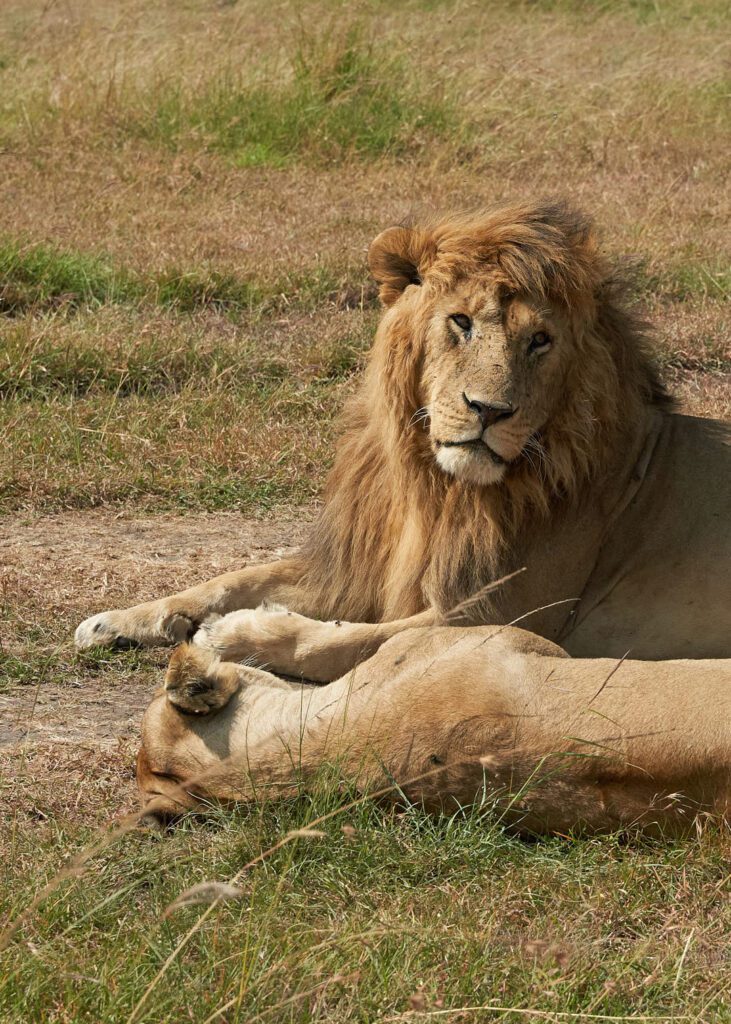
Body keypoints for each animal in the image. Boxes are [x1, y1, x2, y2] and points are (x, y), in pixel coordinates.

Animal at [76, 199, 730, 678]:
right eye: (460, 322)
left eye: (540, 341)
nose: (489, 410)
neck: (435, 488)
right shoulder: (360, 567)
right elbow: (234, 578)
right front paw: (119, 619)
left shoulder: (509, 615)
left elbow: (348, 643)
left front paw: (236, 634)